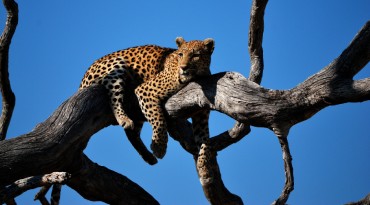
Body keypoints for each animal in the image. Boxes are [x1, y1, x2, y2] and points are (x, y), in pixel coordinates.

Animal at [79, 37, 215, 165]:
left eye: (196, 55)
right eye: (180, 54)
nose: (183, 67)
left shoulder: (201, 113)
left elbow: (204, 136)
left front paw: (203, 163)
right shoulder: (145, 90)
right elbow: (158, 118)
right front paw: (159, 147)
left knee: (132, 133)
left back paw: (148, 156)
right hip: (116, 65)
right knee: (114, 97)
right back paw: (124, 119)